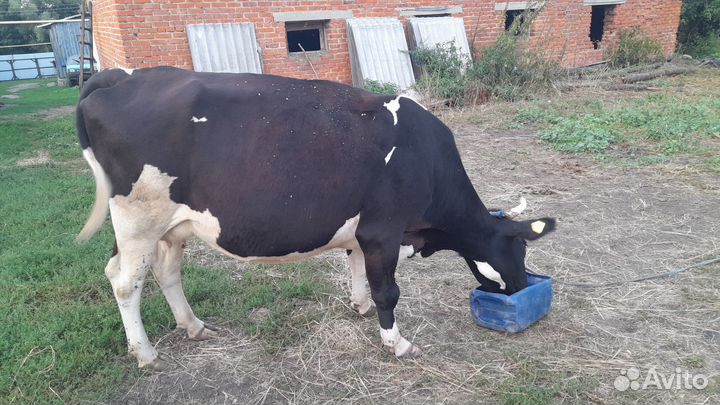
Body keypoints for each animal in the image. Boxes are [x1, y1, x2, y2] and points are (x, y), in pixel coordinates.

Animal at [76, 66, 556, 370]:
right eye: (517, 248)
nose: (520, 287)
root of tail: (124, 76)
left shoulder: (364, 233)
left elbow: (358, 270)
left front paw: (360, 306)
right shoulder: (383, 229)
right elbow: (388, 291)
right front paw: (396, 342)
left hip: (171, 227)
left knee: (165, 271)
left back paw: (194, 327)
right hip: (137, 218)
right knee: (125, 281)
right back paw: (146, 354)